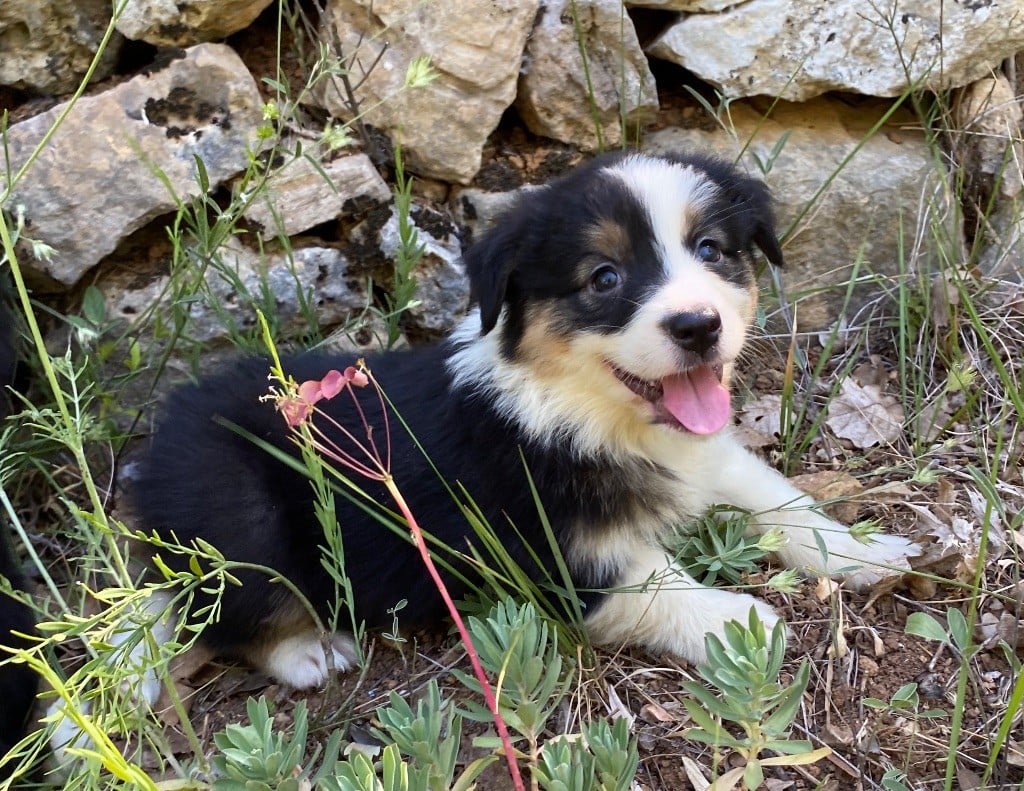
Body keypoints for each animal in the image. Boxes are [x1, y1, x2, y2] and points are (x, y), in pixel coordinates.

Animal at [123, 151, 917, 688]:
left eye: (711, 250)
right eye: (605, 278)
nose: (698, 326)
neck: (588, 407)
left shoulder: (709, 456)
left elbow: (780, 498)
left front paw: (868, 551)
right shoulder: (547, 550)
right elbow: (658, 585)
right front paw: (741, 622)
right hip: (234, 507)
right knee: (225, 607)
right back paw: (307, 649)